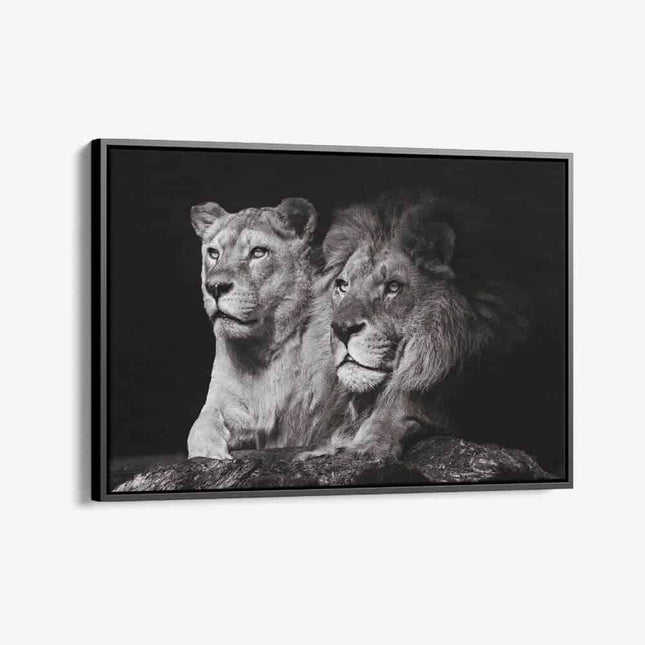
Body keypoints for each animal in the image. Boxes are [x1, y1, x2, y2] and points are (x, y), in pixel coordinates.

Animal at [187, 197, 339, 460]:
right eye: (213, 253)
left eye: (258, 252)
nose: (214, 287)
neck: (264, 349)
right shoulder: (224, 400)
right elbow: (199, 428)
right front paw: (211, 453)